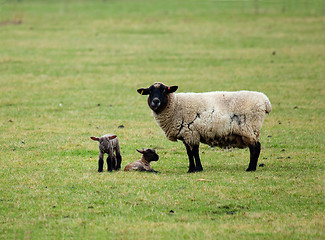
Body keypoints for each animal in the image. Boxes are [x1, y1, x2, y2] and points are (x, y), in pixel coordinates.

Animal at [137, 82, 270, 172]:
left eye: (164, 90)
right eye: (149, 91)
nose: (155, 101)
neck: (175, 105)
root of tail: (265, 101)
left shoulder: (192, 133)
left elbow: (195, 152)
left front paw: (198, 168)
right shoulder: (186, 134)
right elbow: (189, 153)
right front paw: (191, 169)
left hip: (250, 129)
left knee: (256, 147)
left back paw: (251, 168)